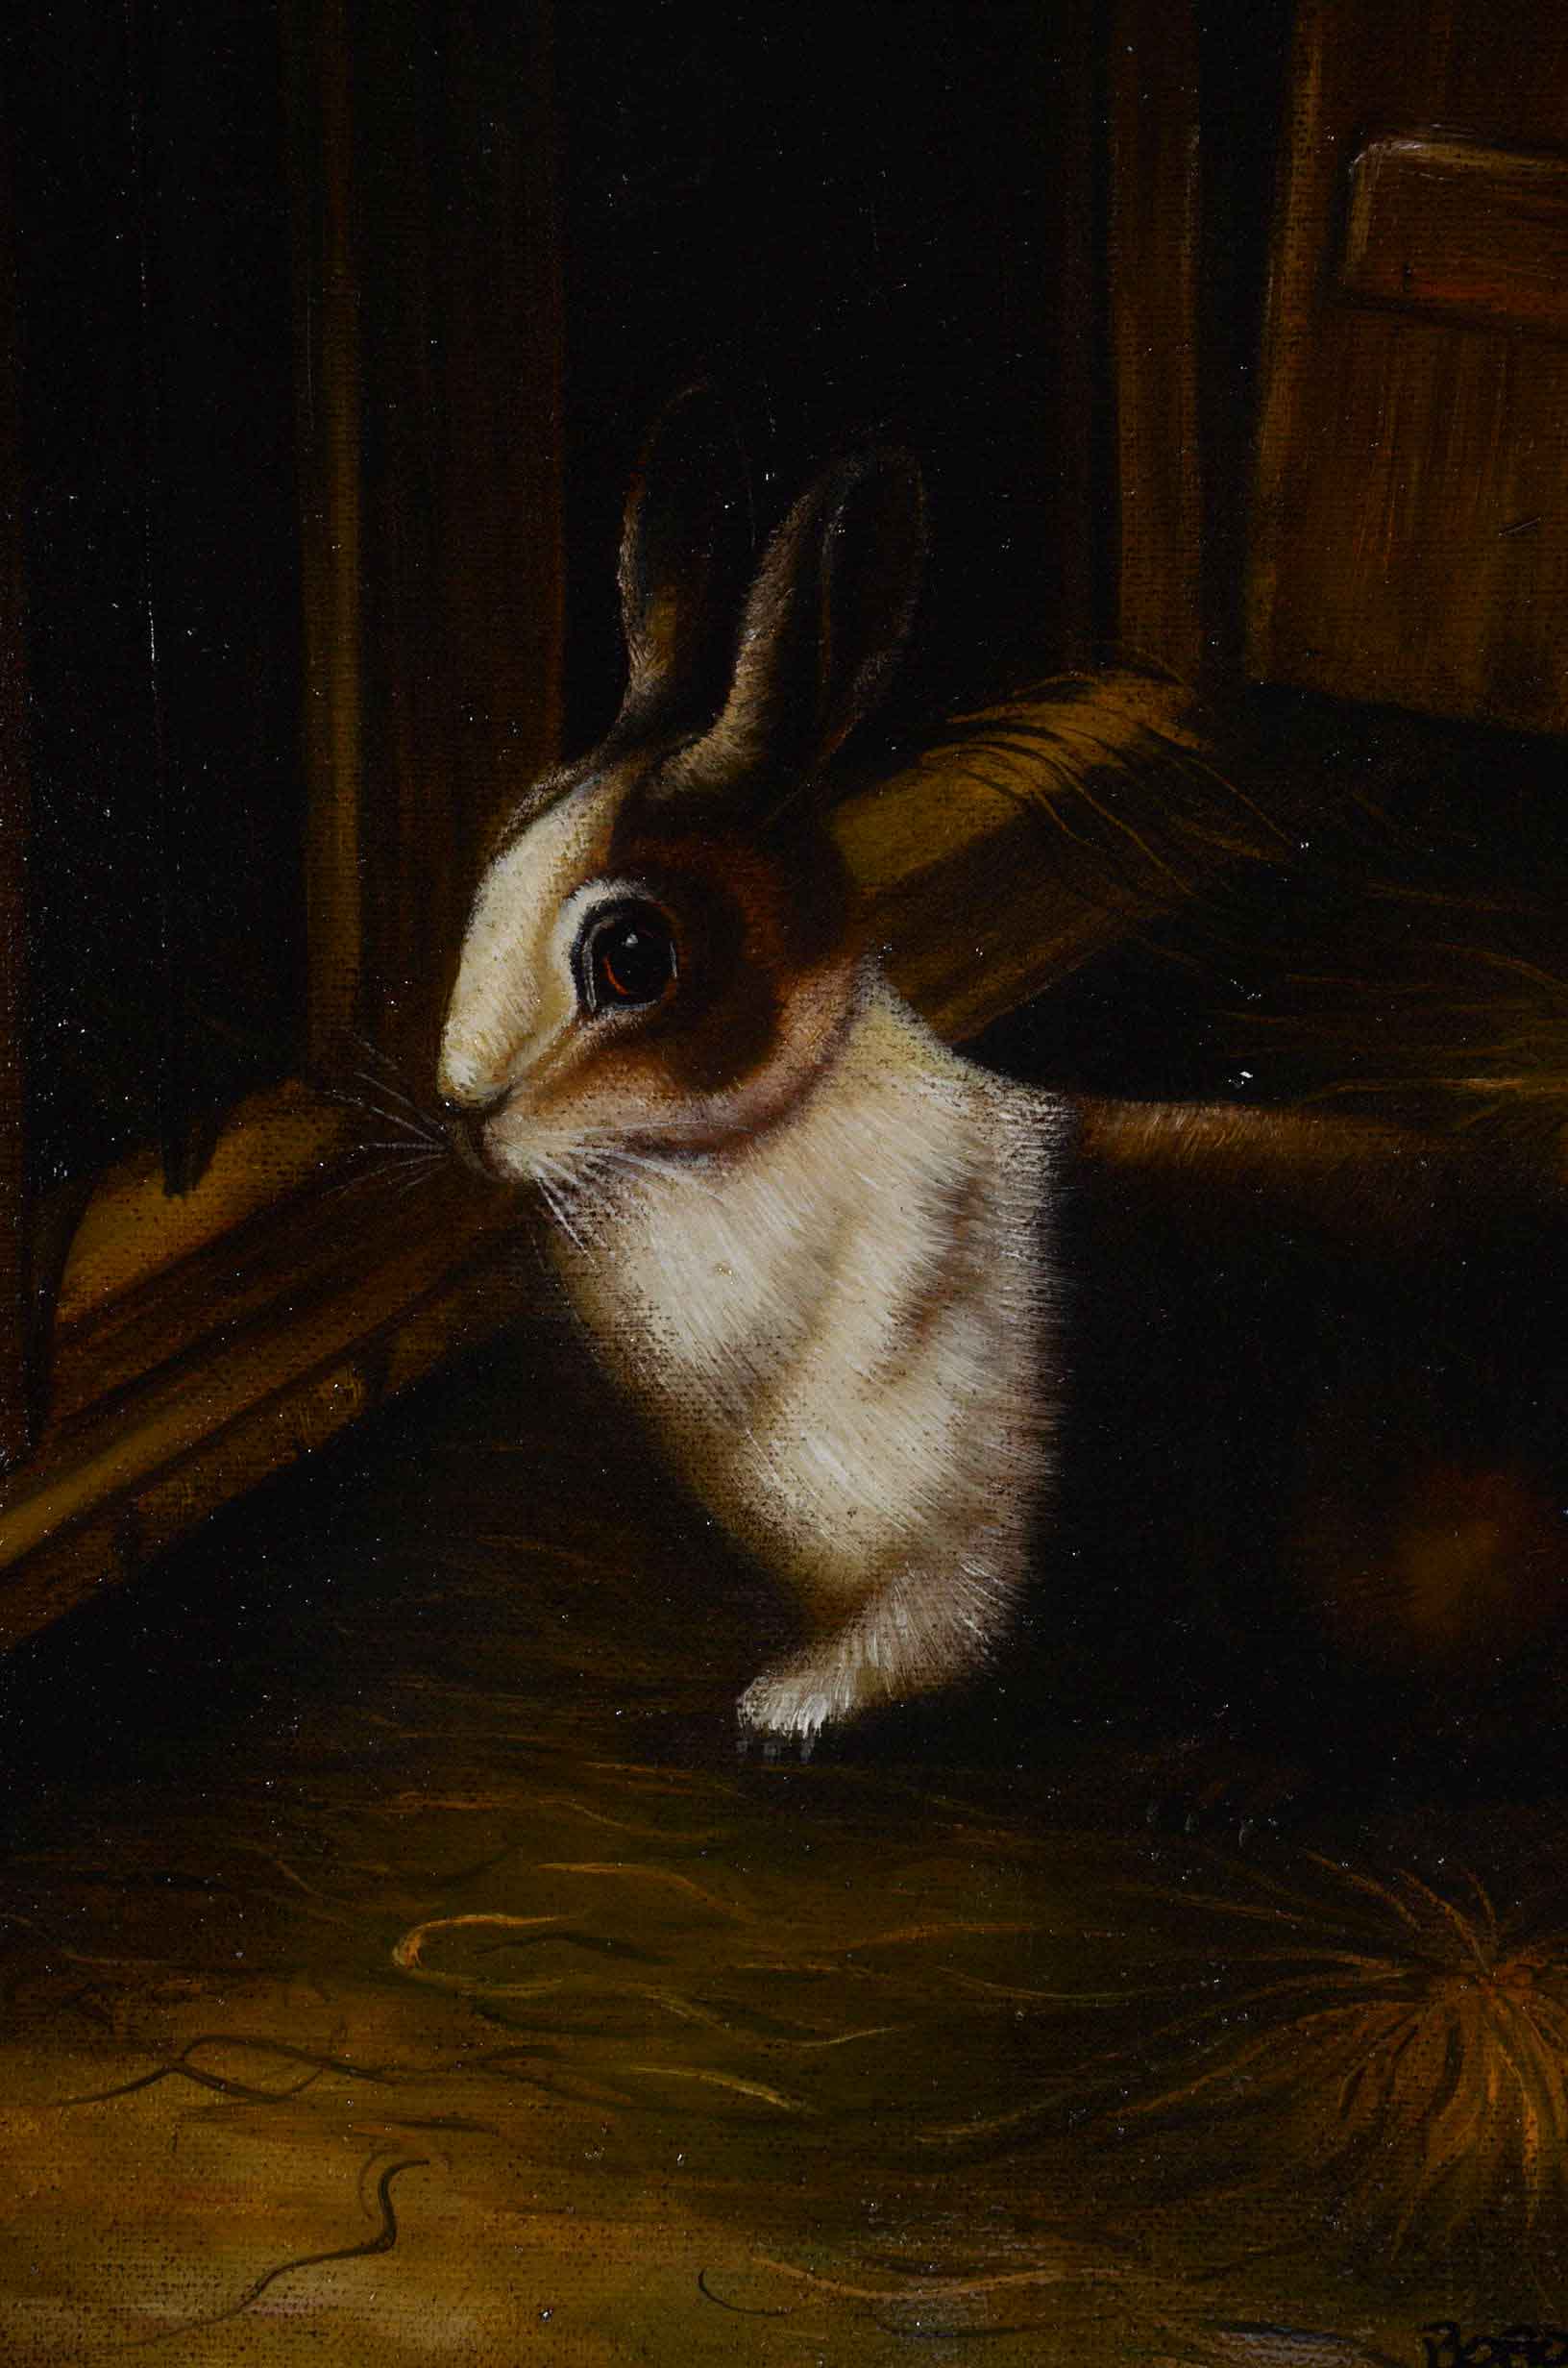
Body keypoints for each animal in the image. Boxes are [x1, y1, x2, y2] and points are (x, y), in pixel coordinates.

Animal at [437, 389, 1568, 1765]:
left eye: (632, 954)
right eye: (503, 846)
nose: (466, 1113)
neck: (732, 1155)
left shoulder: (951, 1562)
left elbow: (921, 1633)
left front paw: (786, 1702)